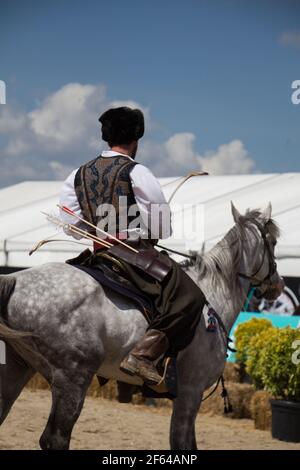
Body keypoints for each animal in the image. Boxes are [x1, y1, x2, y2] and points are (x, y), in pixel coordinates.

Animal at [0, 205, 284, 448]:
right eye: (272, 242)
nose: (278, 284)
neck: (213, 298)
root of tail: (14, 279)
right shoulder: (190, 393)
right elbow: (182, 444)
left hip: (17, 366)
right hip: (73, 377)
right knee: (55, 439)